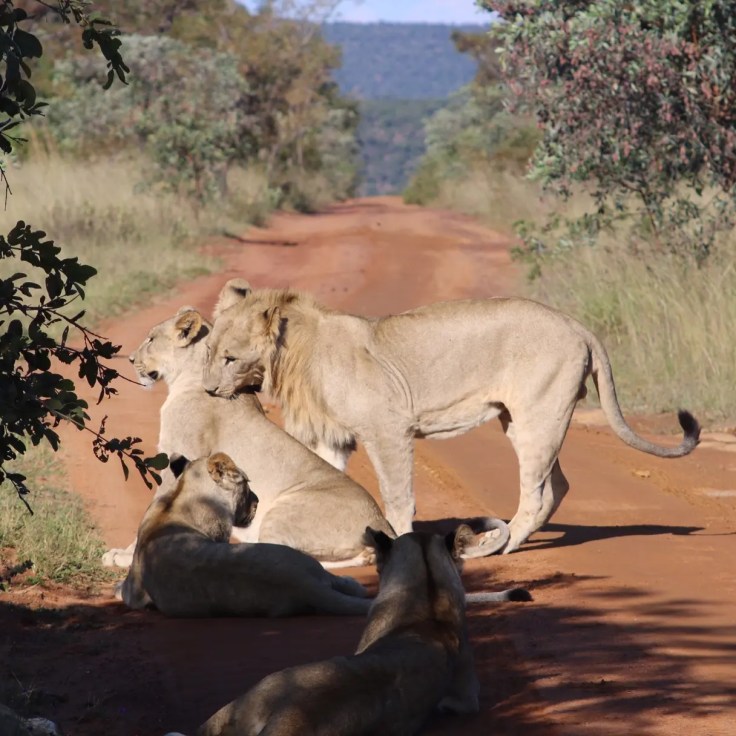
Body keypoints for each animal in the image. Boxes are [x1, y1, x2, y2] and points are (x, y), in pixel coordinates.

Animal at [103, 307, 510, 568]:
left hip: (283, 510)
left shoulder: (178, 457)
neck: (188, 378)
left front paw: (124, 555)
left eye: (151, 338)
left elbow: (154, 509)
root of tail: (381, 522)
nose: (131, 360)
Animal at [119, 452, 373, 617]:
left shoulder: (133, 593)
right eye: (248, 484)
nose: (258, 501)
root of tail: (300, 582)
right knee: (343, 583)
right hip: (304, 561)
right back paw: (357, 583)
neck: (179, 496)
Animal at [202, 279, 701, 554]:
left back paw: (499, 546)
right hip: (523, 420)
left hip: (539, 415)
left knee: (536, 492)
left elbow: (397, 497)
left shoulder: (388, 430)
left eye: (229, 358)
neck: (294, 353)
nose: (207, 390)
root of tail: (577, 324)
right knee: (556, 486)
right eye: (207, 353)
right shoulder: (334, 438)